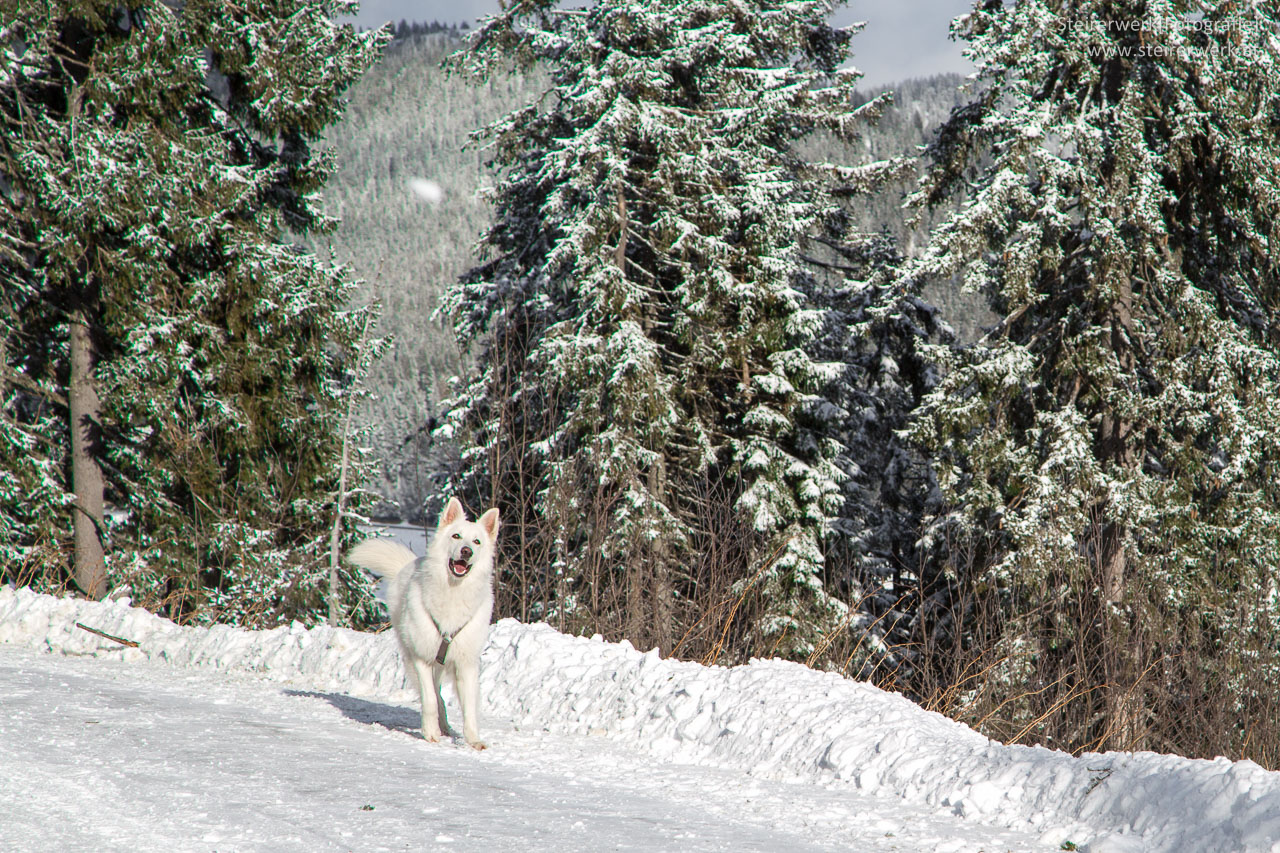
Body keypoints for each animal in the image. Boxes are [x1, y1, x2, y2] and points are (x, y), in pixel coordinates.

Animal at [350, 494, 499, 747]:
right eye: (456, 536)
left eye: (477, 542)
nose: (466, 551)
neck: (452, 594)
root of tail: (407, 565)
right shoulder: (421, 659)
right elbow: (429, 699)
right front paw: (430, 732)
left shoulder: (466, 664)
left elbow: (469, 707)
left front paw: (473, 739)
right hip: (414, 658)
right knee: (434, 695)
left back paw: (446, 726)